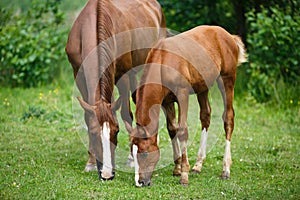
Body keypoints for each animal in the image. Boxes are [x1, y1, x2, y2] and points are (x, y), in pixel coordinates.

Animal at [65, 0, 166, 180]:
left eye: (116, 131)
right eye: (93, 133)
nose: (106, 174)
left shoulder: (122, 76)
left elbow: (126, 114)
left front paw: (132, 158)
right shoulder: (78, 74)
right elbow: (88, 116)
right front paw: (91, 162)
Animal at [131, 25, 246, 187]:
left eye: (145, 153)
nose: (140, 182)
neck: (163, 61)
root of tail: (228, 35)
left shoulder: (182, 95)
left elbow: (182, 130)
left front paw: (184, 175)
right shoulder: (166, 101)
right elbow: (172, 129)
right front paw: (177, 168)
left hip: (227, 80)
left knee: (228, 118)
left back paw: (225, 169)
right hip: (203, 87)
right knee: (205, 116)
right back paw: (198, 165)